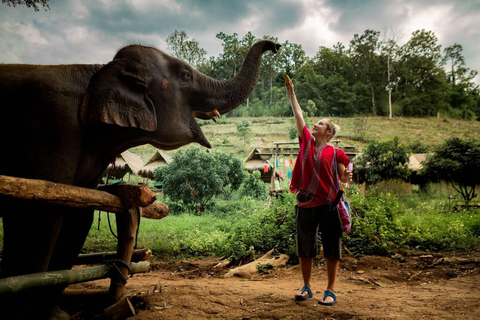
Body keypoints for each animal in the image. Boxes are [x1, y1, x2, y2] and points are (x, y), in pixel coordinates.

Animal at [0, 38, 282, 318]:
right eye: (185, 75)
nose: (276, 46)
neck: (100, 71)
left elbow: (79, 212)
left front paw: (55, 315)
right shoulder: (49, 127)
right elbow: (42, 213)